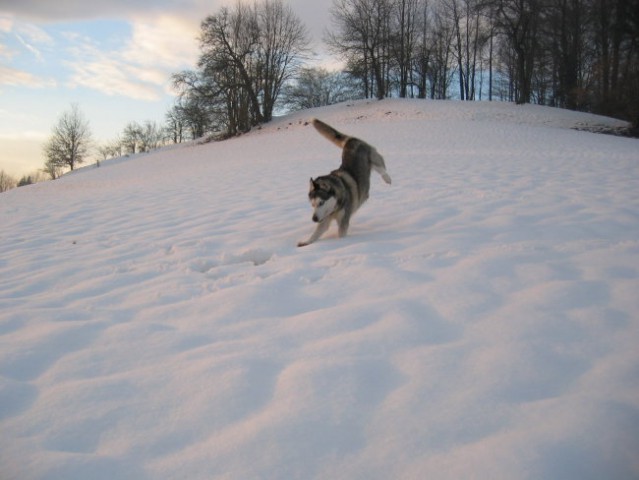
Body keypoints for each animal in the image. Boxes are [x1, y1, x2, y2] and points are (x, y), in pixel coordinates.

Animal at [298, 119, 392, 248]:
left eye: (321, 202)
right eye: (312, 205)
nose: (314, 219)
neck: (334, 208)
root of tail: (350, 140)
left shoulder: (343, 220)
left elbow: (341, 234)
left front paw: (341, 244)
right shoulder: (325, 219)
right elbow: (316, 233)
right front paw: (305, 242)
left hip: (373, 159)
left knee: (381, 168)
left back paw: (387, 179)